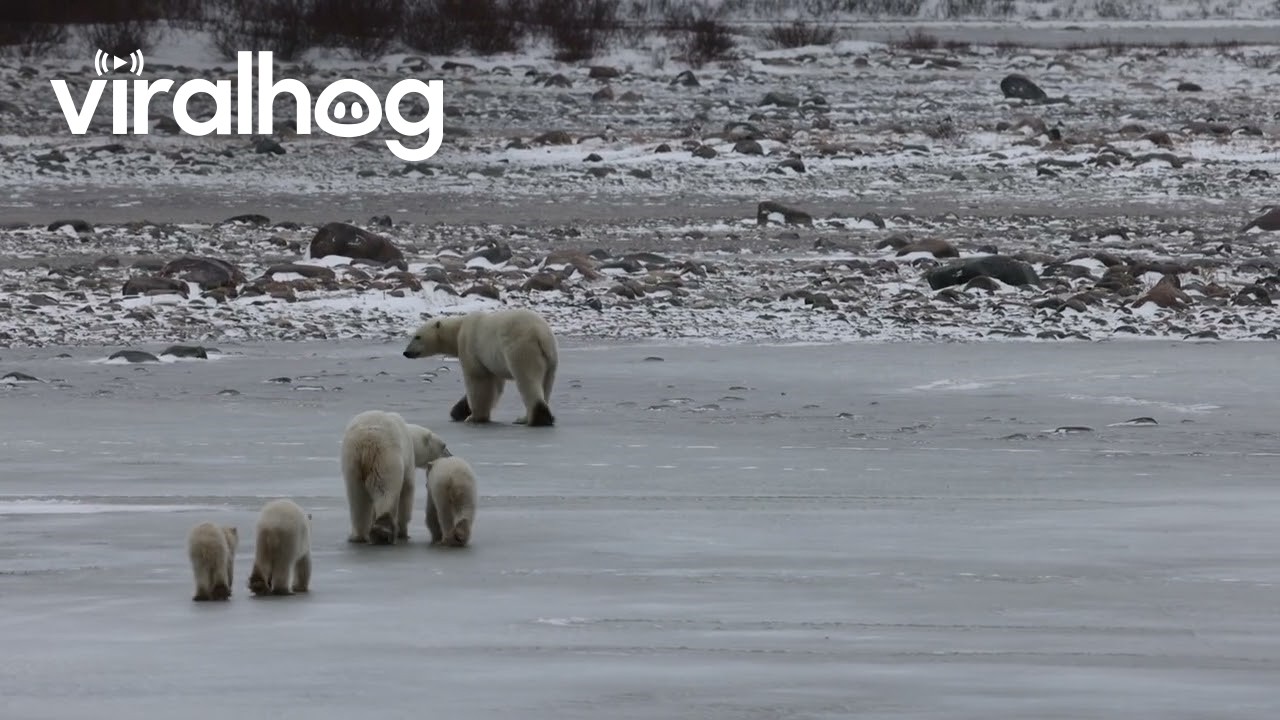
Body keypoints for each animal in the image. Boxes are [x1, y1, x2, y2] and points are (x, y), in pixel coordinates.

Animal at [341, 409, 452, 545]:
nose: (451, 456)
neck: (410, 435)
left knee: (357, 496)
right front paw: (403, 532)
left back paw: (358, 536)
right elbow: (407, 489)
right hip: (384, 456)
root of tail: (365, 442)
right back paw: (382, 531)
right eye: (443, 445)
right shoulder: (407, 456)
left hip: (351, 462)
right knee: (384, 490)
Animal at [402, 308, 558, 427]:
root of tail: (540, 334)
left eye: (417, 336)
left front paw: (473, 416)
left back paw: (537, 419)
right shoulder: (492, 358)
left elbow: (478, 380)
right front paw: (458, 411)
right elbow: (495, 385)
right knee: (546, 383)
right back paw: (525, 418)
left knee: (527, 379)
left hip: (521, 349)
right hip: (550, 359)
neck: (459, 328)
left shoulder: (470, 346)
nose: (406, 352)